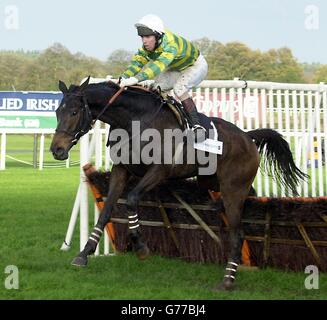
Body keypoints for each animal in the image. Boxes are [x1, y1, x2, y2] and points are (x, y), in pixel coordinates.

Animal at [50, 77, 308, 290]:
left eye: (74, 112)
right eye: (57, 112)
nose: (57, 150)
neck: (134, 121)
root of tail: (248, 136)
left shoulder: (159, 171)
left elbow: (132, 199)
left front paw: (141, 247)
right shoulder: (121, 170)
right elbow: (106, 211)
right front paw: (84, 254)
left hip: (233, 190)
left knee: (238, 234)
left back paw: (227, 280)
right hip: (214, 183)